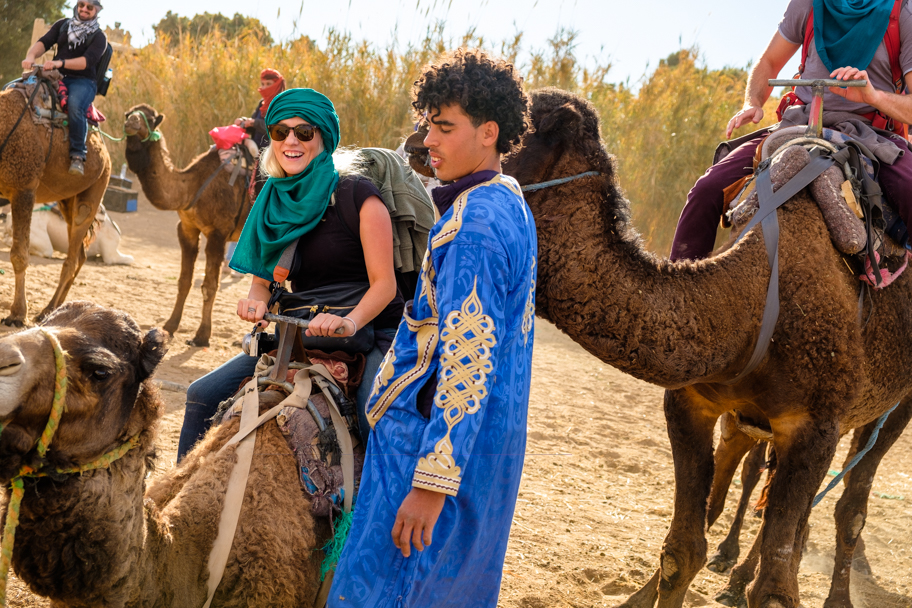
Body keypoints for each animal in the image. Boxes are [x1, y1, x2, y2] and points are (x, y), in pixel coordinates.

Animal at [0, 72, 112, 328]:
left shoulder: (24, 190)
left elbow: (19, 254)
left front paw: (17, 315)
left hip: (95, 189)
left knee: (72, 257)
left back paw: (47, 311)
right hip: (66, 200)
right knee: (79, 255)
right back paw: (58, 309)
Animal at [123, 104, 253, 346]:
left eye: (150, 118)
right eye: (128, 113)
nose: (132, 122)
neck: (191, 188)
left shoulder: (218, 233)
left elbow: (209, 286)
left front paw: (202, 336)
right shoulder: (187, 228)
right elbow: (184, 281)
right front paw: (169, 326)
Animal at [502, 88, 912, 608]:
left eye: (512, 133)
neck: (753, 297)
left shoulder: (814, 426)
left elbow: (774, 588)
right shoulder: (693, 401)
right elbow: (683, 550)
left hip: (890, 407)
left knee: (850, 505)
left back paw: (830, 594)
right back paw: (728, 574)